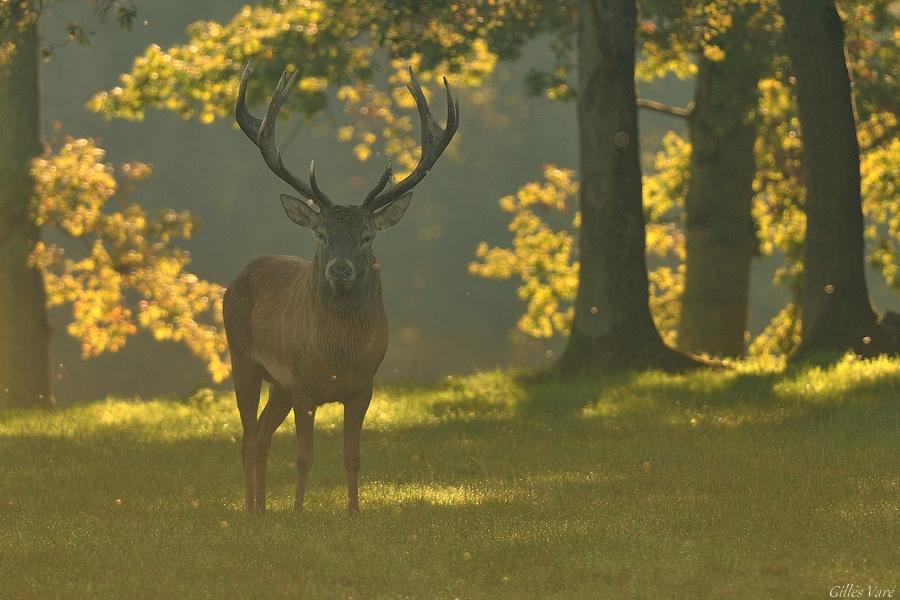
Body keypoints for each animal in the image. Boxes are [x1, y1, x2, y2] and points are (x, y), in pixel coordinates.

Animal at [223, 62, 458, 514]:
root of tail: (241, 272)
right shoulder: (302, 385)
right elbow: (303, 456)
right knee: (246, 438)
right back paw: (249, 510)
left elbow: (353, 456)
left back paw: (261, 509)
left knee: (260, 437)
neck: (338, 357)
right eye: (321, 234)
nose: (341, 269)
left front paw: (352, 512)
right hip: (242, 358)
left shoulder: (364, 386)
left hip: (278, 384)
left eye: (367, 236)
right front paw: (298, 511)